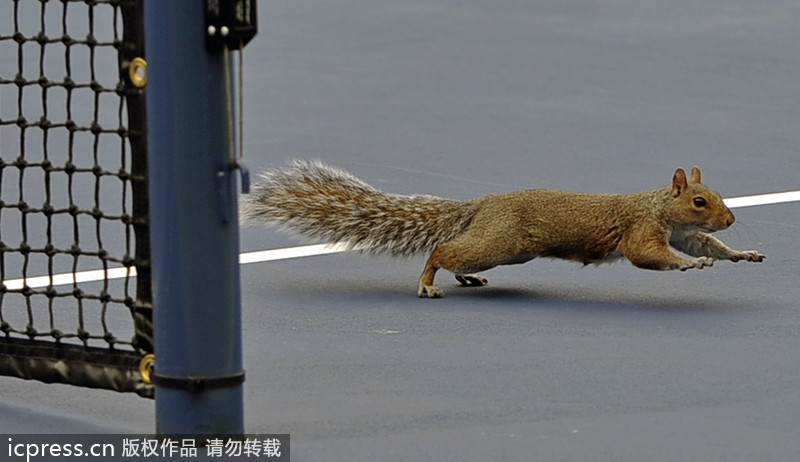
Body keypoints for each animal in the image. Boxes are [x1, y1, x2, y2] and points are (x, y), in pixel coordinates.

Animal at [241, 161, 764, 298]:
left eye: (716, 196)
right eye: (699, 201)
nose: (732, 219)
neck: (658, 206)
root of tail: (481, 205)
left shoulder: (680, 232)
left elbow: (704, 243)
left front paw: (741, 254)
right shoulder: (642, 231)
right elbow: (652, 256)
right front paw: (692, 266)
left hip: (506, 250)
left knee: (455, 252)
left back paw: (465, 279)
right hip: (498, 243)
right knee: (442, 250)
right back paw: (428, 284)